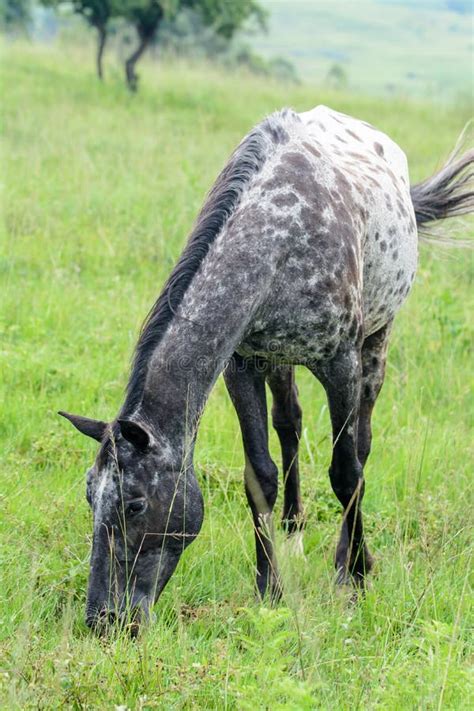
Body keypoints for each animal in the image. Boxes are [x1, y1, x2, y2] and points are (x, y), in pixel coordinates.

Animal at [59, 107, 474, 636]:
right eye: (90, 496)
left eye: (134, 504)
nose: (104, 619)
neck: (281, 233)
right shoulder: (242, 365)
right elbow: (260, 474)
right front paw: (268, 588)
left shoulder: (340, 363)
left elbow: (346, 472)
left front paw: (354, 579)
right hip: (279, 362)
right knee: (289, 423)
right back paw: (295, 530)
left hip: (376, 345)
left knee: (360, 444)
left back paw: (347, 557)